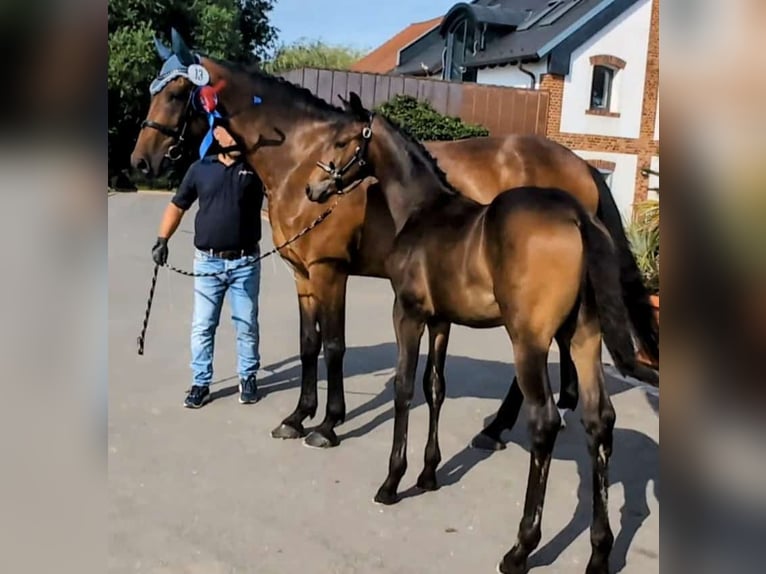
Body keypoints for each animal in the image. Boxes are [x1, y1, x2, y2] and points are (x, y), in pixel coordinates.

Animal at [129, 31, 656, 452]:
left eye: (176, 92)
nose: (141, 161)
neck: (300, 157)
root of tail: (581, 166)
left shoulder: (329, 270)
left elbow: (334, 346)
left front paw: (329, 424)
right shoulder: (302, 273)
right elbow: (307, 344)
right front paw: (297, 417)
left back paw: (497, 429)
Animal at [308, 93, 660, 574]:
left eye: (343, 140)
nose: (313, 189)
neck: (424, 210)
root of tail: (577, 217)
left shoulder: (408, 313)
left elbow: (404, 388)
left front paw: (393, 481)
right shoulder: (440, 320)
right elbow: (435, 387)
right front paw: (429, 475)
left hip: (529, 341)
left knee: (545, 422)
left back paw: (520, 548)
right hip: (582, 338)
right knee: (598, 422)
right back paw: (599, 553)